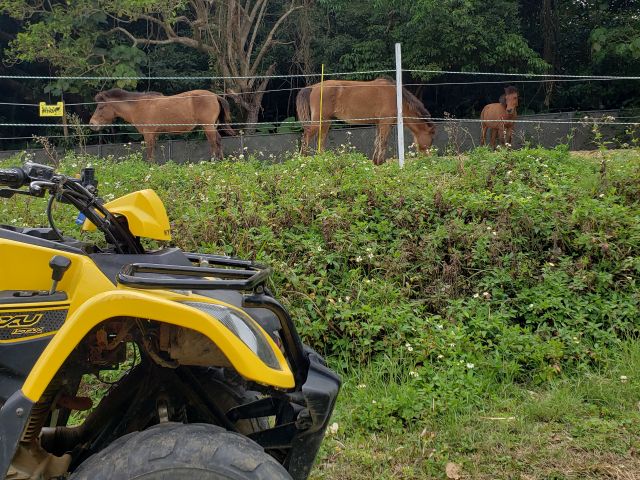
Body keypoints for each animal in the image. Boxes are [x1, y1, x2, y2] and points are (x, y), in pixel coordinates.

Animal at [89, 89, 235, 161]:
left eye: (100, 107)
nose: (92, 124)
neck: (137, 105)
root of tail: (215, 96)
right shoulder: (154, 135)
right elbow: (153, 154)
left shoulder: (148, 134)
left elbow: (149, 155)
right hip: (212, 126)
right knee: (218, 140)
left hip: (208, 126)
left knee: (213, 143)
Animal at [296, 77, 436, 165]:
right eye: (431, 138)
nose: (428, 158)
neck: (396, 98)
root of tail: (313, 87)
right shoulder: (385, 123)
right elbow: (383, 142)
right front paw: (380, 162)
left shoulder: (379, 124)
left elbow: (377, 141)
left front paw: (376, 161)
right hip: (320, 121)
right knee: (306, 136)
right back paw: (302, 159)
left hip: (326, 122)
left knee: (321, 140)